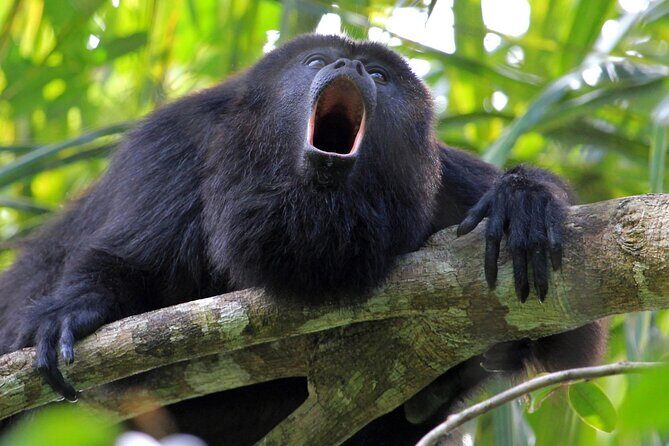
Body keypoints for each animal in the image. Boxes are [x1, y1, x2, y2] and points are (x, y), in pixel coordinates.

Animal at [0, 34, 606, 444]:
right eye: (316, 61)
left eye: (380, 76)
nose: (350, 64)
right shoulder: (174, 146)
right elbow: (126, 262)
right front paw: (75, 310)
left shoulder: (445, 186)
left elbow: (569, 332)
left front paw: (522, 200)